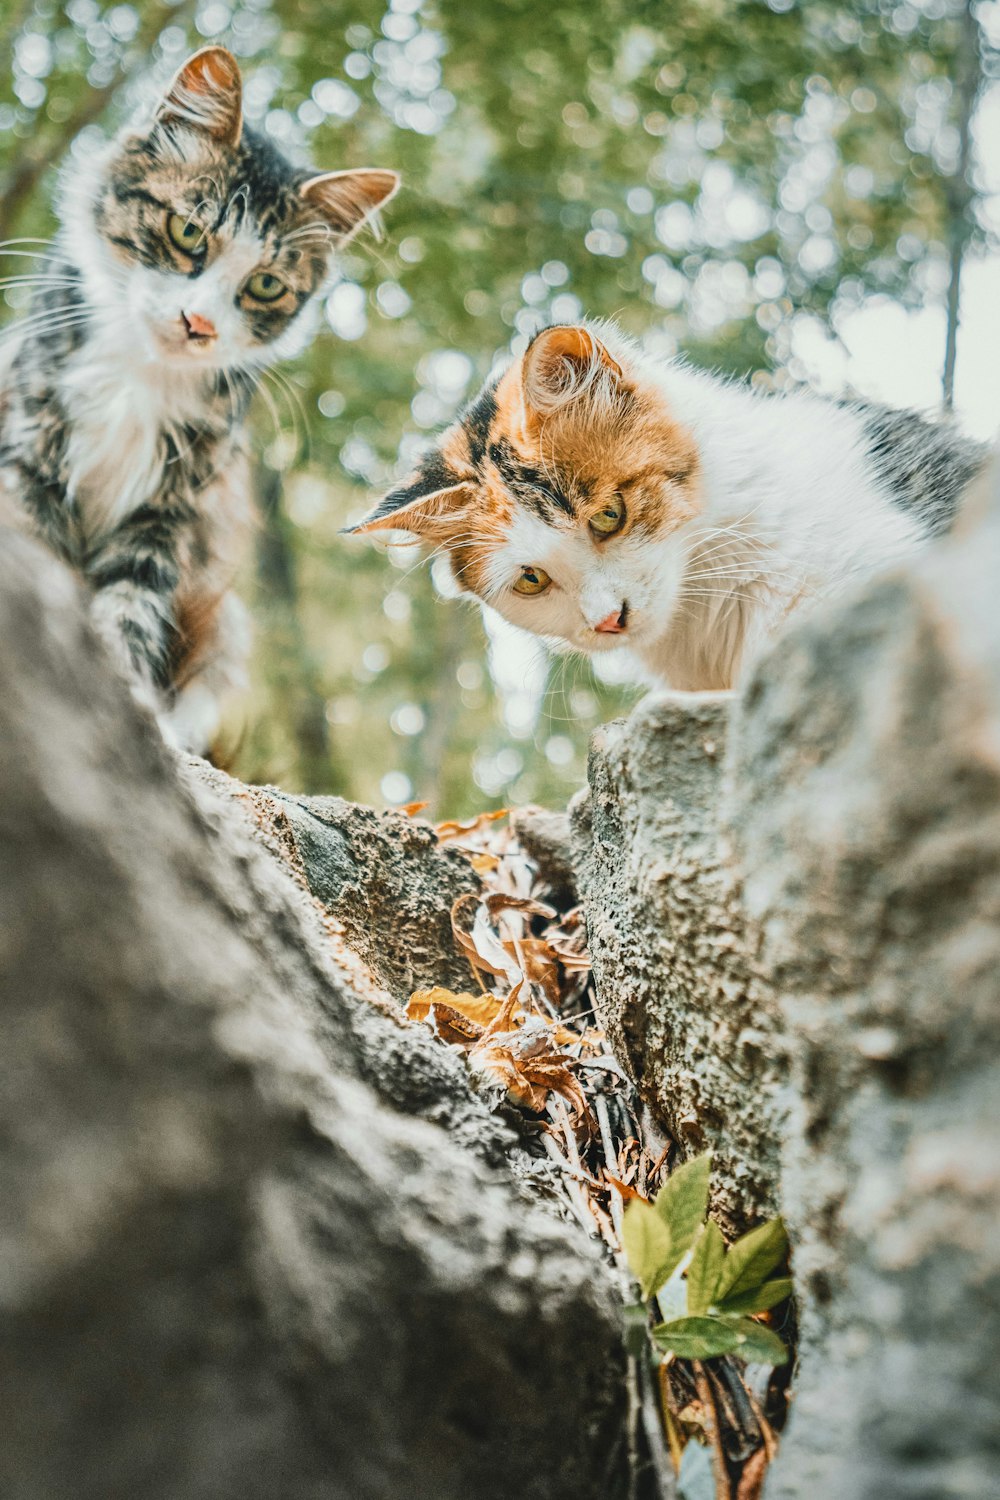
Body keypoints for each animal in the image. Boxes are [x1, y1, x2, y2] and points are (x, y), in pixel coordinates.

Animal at [0, 45, 398, 750]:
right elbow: (44, 563)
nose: (200, 324)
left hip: (227, 624)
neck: (140, 373)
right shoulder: (30, 453)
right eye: (188, 232)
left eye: (265, 285)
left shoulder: (169, 509)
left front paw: (128, 709)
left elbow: (129, 608)